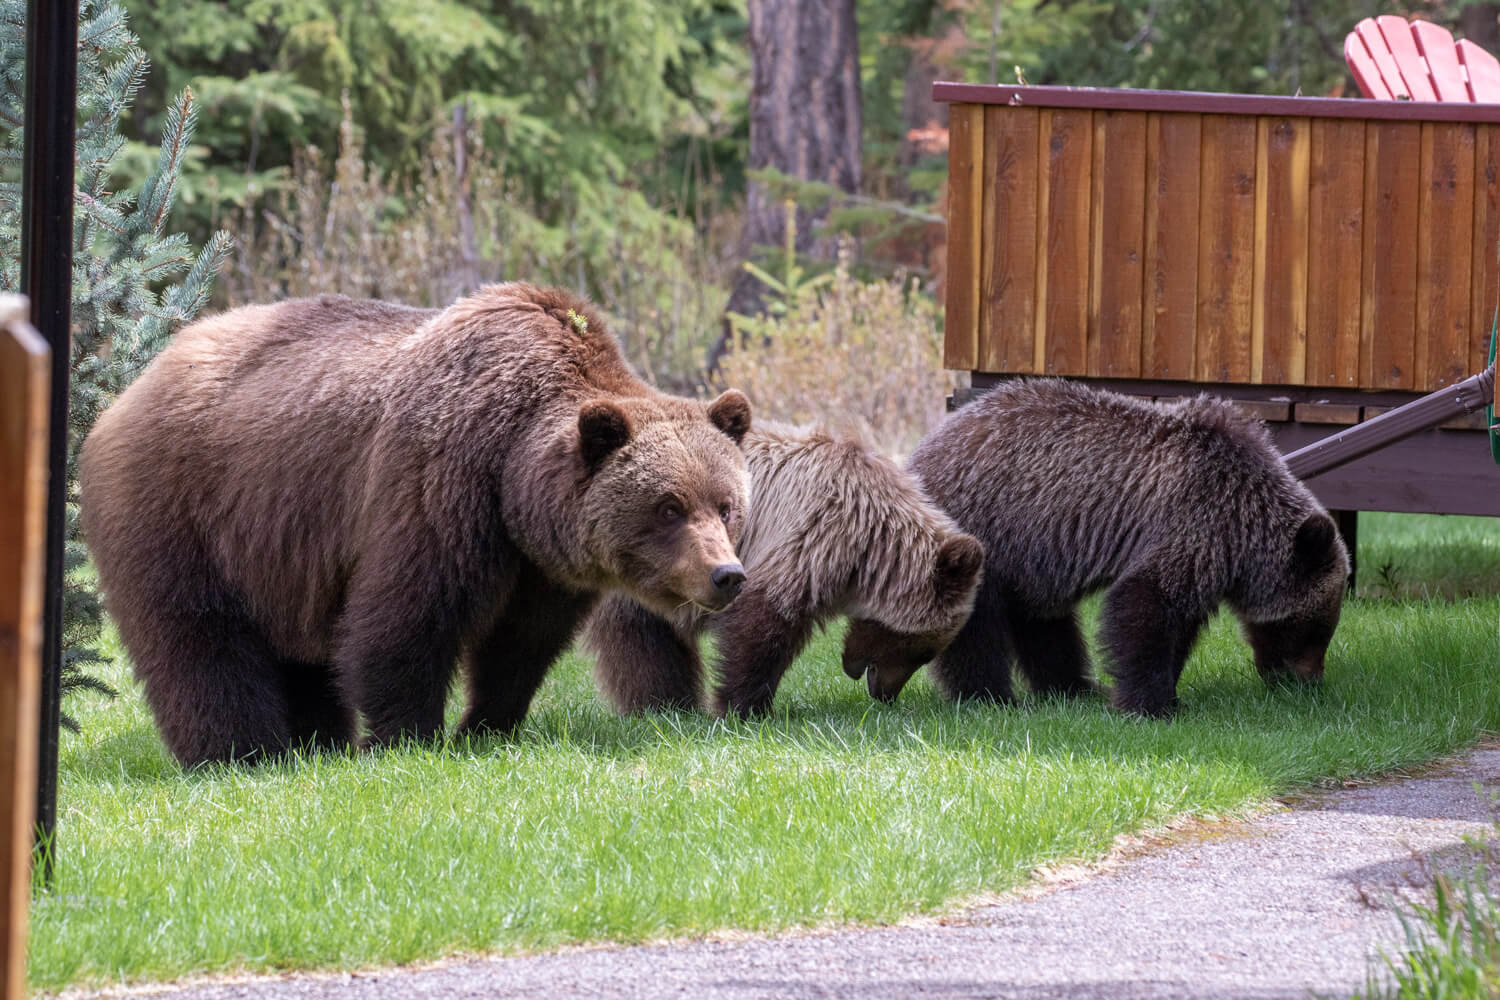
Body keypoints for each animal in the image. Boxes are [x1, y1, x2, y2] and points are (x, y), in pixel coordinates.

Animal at [80, 284, 754, 766]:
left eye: (725, 504)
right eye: (668, 507)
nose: (726, 574)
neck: (514, 475)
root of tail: (127, 390)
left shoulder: (539, 566)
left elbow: (520, 644)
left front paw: (487, 726)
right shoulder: (439, 483)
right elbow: (406, 619)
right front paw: (409, 738)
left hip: (280, 549)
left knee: (298, 652)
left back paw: (317, 742)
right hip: (181, 508)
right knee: (198, 637)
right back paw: (243, 752)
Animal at [584, 420, 984, 717]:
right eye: (922, 650)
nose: (884, 692)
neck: (866, 542)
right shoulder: (806, 536)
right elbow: (761, 626)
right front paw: (743, 706)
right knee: (641, 639)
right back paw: (661, 703)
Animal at [844, 378, 1349, 718]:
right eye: (1312, 628)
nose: (1307, 681)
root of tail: (918, 453)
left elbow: (1177, 623)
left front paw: (1162, 689)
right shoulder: (1192, 524)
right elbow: (1144, 606)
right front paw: (1150, 702)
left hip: (1030, 557)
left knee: (1045, 625)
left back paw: (1073, 686)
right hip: (982, 533)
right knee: (979, 627)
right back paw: (989, 695)